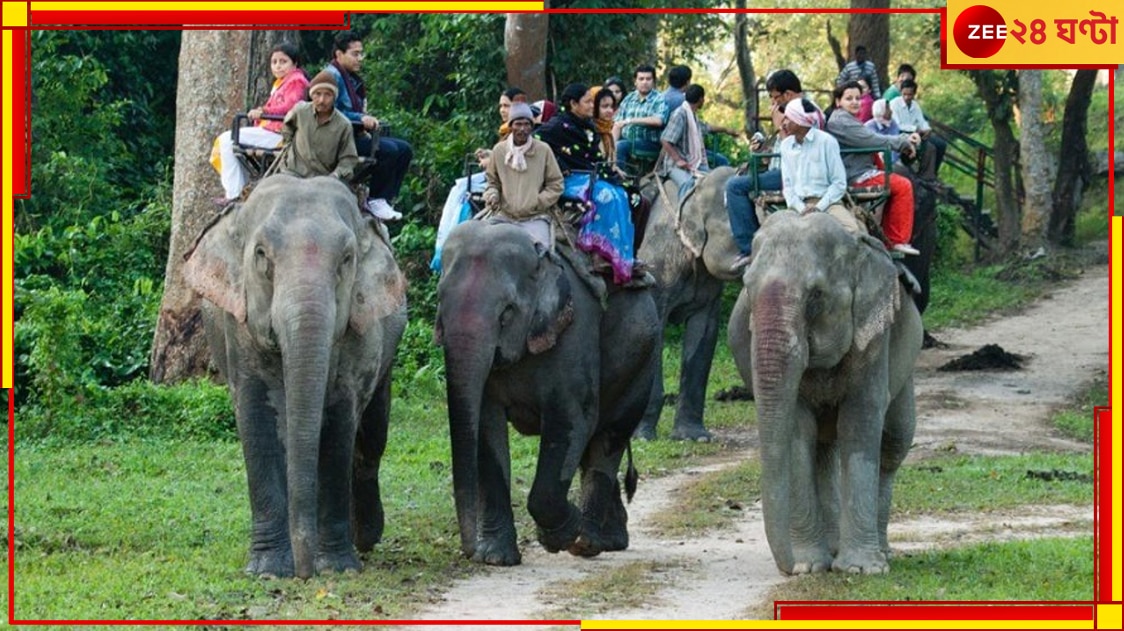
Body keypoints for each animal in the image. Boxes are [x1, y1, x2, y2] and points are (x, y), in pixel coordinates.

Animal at [184, 174, 409, 580]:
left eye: (347, 259)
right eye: (261, 255)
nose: (306, 575)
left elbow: (339, 421)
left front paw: (336, 568)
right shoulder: (236, 326)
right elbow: (255, 415)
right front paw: (269, 570)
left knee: (370, 440)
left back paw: (364, 537)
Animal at [429, 219, 656, 562]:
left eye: (507, 312)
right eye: (440, 302)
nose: (468, 552)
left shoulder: (575, 334)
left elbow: (571, 421)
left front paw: (561, 535)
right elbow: (486, 428)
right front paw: (495, 558)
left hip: (641, 361)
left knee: (608, 437)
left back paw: (587, 542)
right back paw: (611, 539)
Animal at [728, 211, 921, 575]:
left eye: (816, 295)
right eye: (747, 287)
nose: (787, 567)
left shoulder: (874, 339)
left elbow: (860, 422)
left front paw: (862, 570)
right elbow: (797, 430)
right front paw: (809, 566)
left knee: (893, 443)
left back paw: (881, 553)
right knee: (824, 448)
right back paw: (832, 551)